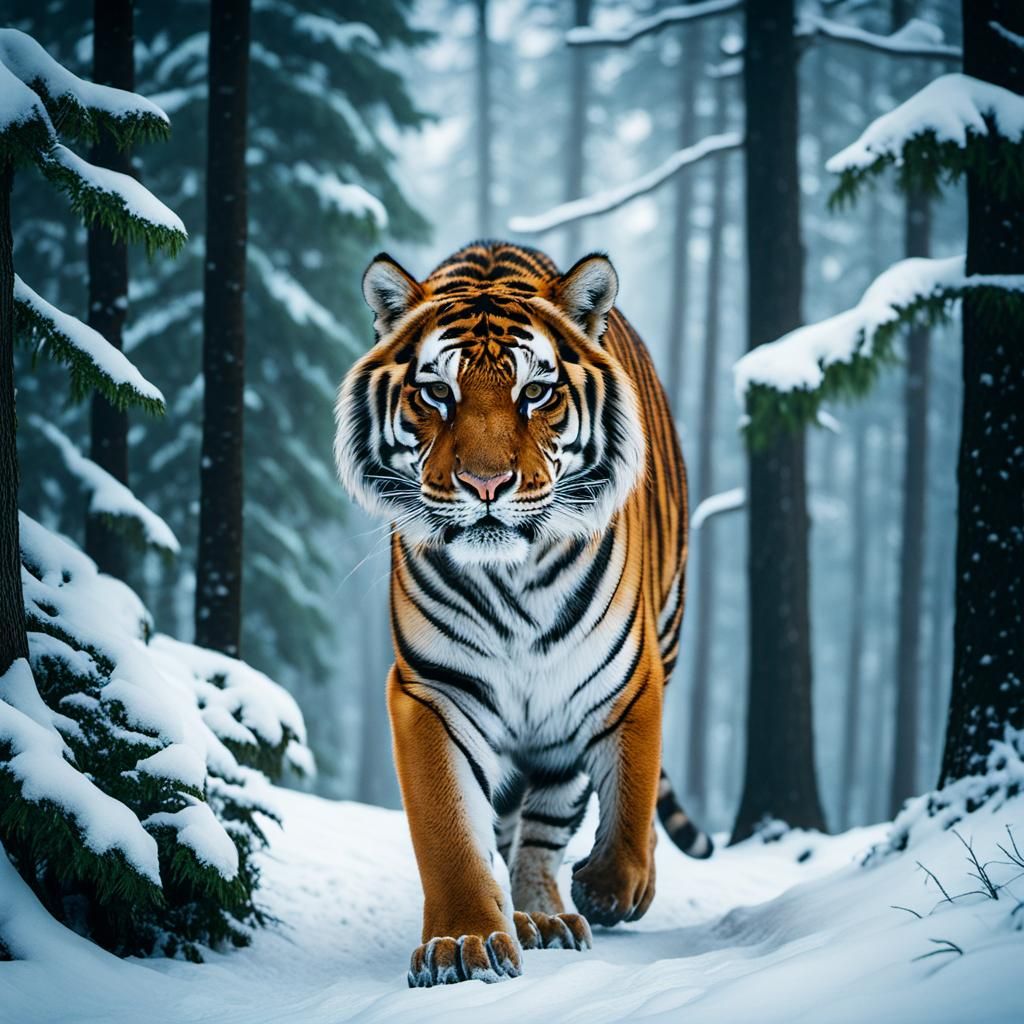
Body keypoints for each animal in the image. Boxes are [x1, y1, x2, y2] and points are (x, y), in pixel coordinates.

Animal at [334, 240, 712, 988]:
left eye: (535, 393)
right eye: (436, 392)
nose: (486, 485)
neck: (513, 581)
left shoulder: (628, 680)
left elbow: (631, 792)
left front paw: (612, 887)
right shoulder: (433, 690)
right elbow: (450, 828)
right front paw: (463, 941)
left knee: (552, 819)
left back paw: (557, 909)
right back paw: (528, 916)